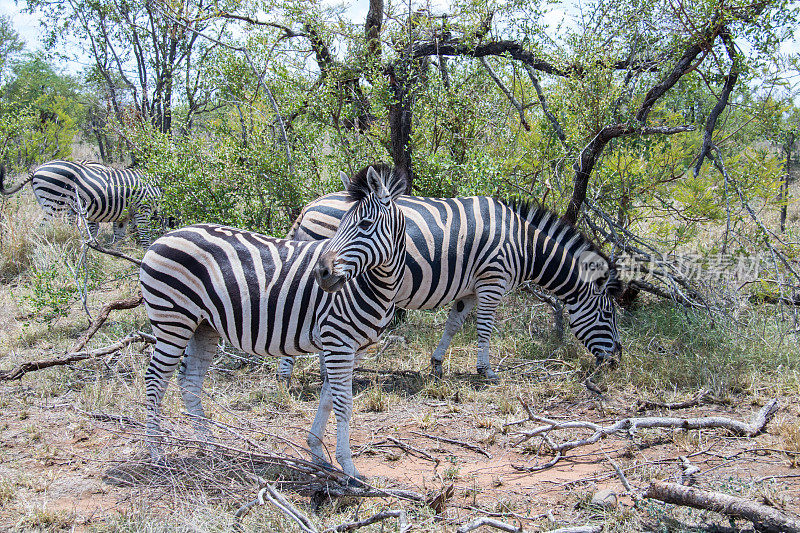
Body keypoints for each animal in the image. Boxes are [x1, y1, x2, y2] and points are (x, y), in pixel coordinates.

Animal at [0, 159, 164, 244]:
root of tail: (37, 169)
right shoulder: (142, 209)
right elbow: (145, 236)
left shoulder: (124, 216)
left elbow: (119, 237)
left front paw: (116, 256)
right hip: (55, 204)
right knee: (43, 229)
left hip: (47, 203)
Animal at [138, 165, 410, 478]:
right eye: (340, 225)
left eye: (365, 225)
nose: (322, 275)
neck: (373, 285)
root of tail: (162, 238)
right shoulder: (338, 341)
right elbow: (343, 403)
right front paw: (349, 467)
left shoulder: (354, 347)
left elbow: (327, 398)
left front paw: (317, 452)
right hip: (172, 320)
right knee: (156, 379)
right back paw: (156, 453)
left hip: (203, 326)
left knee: (189, 381)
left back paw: (208, 445)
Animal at [282, 164, 624, 380]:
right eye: (608, 314)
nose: (617, 361)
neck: (522, 244)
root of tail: (308, 208)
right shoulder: (492, 282)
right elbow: (484, 329)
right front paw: (486, 371)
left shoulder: (469, 290)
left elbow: (454, 324)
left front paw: (436, 365)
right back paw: (294, 375)